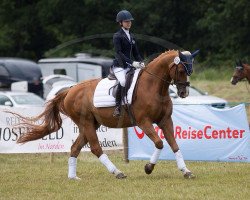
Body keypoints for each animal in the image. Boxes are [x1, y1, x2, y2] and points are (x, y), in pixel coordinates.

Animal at [12, 49, 198, 180]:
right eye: (182, 70)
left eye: (190, 70)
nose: (184, 93)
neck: (154, 87)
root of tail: (70, 90)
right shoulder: (143, 121)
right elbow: (159, 143)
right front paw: (148, 168)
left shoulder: (165, 120)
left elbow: (174, 145)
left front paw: (186, 171)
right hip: (86, 123)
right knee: (95, 148)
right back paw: (117, 172)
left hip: (90, 125)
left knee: (75, 147)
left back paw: (73, 177)